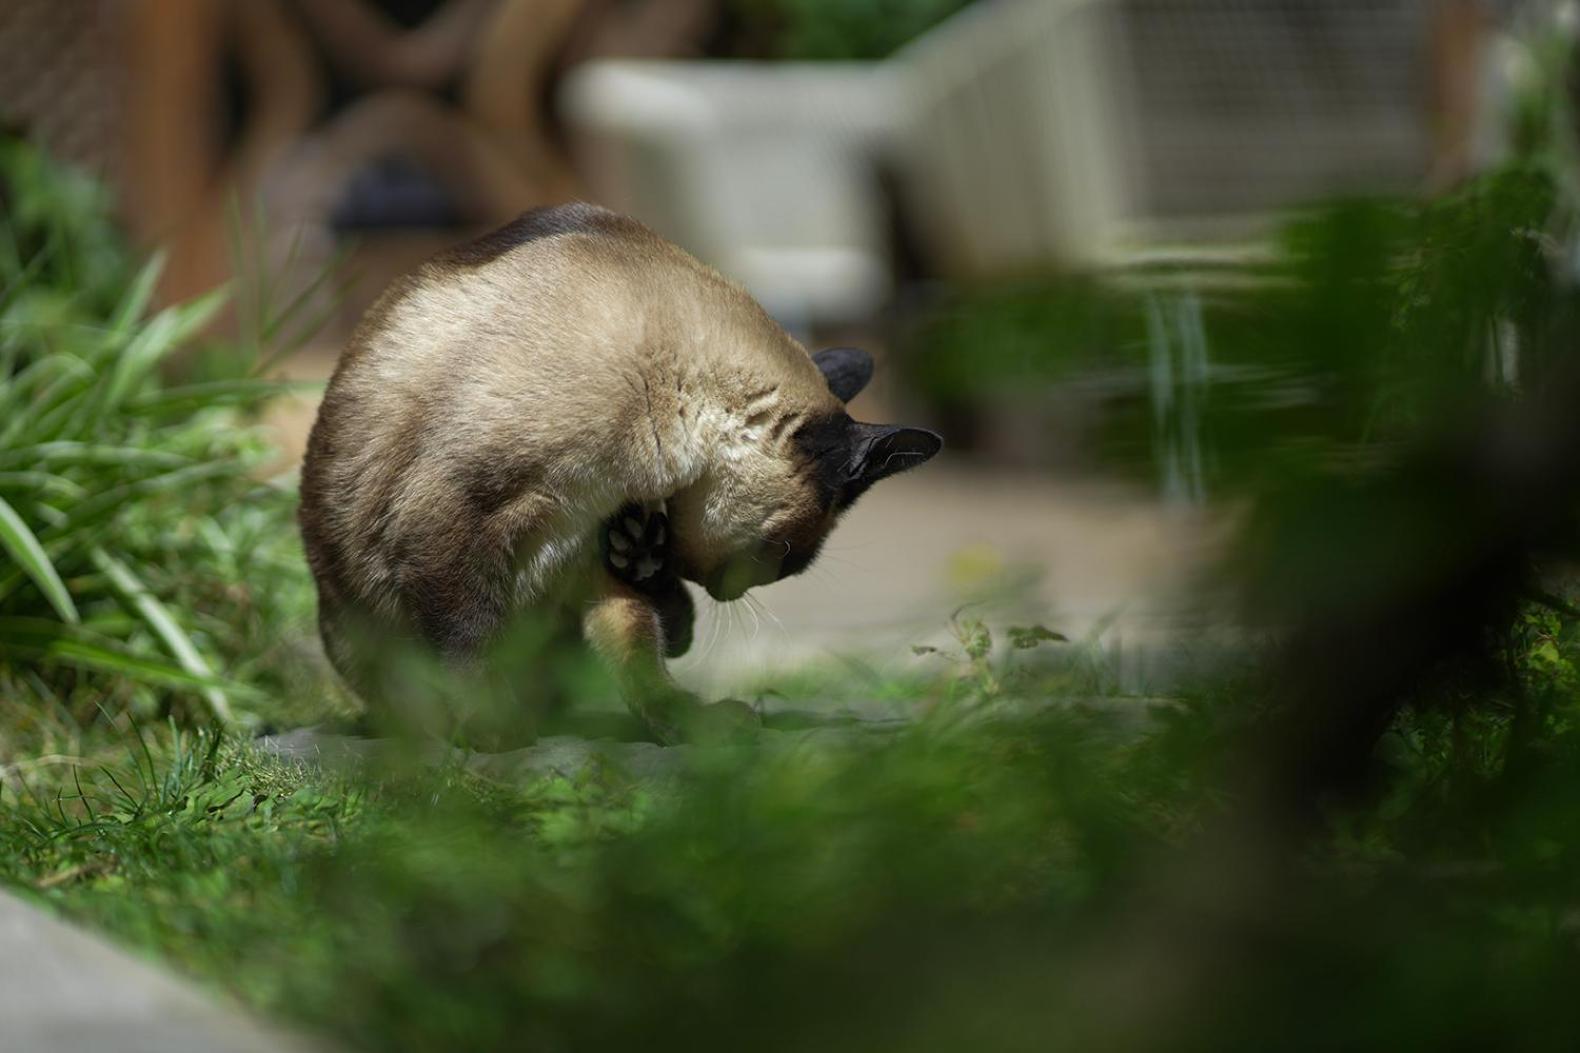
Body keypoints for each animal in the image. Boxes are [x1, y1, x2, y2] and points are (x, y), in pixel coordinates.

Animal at [298, 200, 935, 733]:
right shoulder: (451, 521)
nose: (736, 592)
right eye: (784, 558)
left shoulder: (585, 551)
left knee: (651, 637)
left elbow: (640, 646)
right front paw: (489, 728)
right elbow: (467, 637)